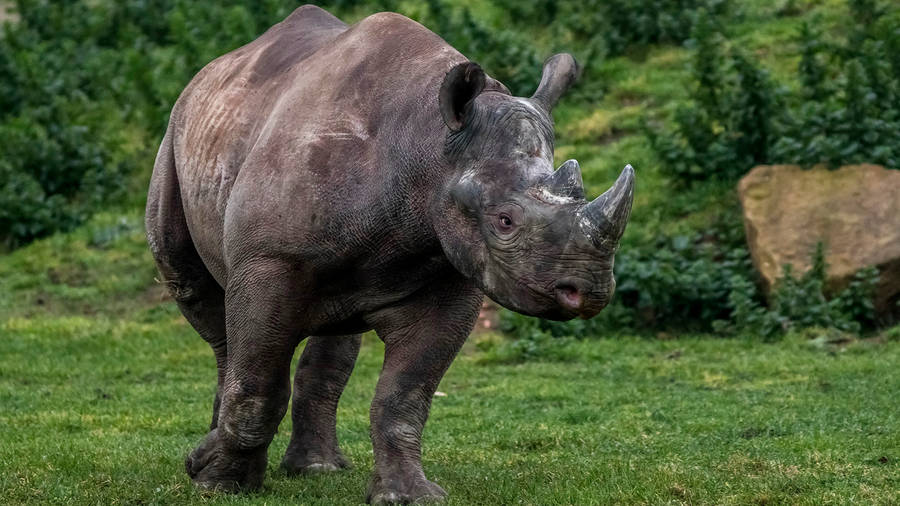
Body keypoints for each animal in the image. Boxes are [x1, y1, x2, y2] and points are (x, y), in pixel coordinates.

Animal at [145, 5, 633, 504]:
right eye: (504, 221)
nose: (589, 290)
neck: (426, 146)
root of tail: (207, 74)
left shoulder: (451, 271)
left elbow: (405, 396)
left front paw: (409, 495)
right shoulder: (269, 260)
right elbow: (257, 387)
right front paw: (219, 484)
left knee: (333, 331)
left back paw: (317, 469)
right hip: (175, 138)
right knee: (204, 305)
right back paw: (212, 458)